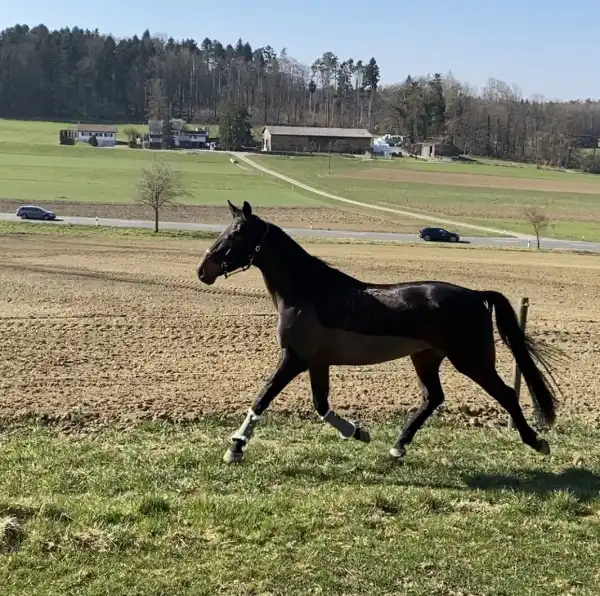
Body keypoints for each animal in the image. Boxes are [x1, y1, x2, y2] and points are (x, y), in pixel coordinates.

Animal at [197, 200, 564, 466]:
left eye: (236, 234)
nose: (203, 271)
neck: (307, 293)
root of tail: (476, 295)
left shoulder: (294, 358)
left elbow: (263, 398)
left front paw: (235, 447)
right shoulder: (317, 362)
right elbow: (321, 405)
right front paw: (358, 432)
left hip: (471, 360)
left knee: (507, 394)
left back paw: (537, 442)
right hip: (426, 358)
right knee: (433, 398)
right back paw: (398, 447)